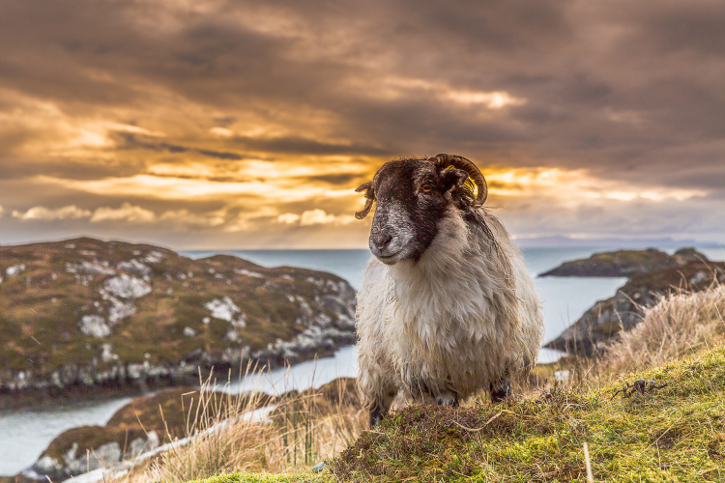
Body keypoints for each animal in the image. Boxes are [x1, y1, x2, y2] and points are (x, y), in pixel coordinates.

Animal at [350, 152, 544, 428]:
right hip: (374, 366)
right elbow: (447, 409)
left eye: (427, 186)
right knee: (377, 409)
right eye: (377, 196)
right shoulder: (436, 375)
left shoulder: (502, 362)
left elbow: (501, 400)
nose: (380, 241)